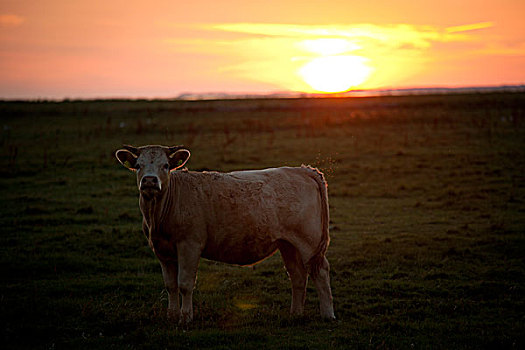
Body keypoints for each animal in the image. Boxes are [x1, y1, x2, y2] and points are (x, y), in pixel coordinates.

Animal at [116, 144, 334, 322]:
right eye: (138, 165)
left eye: (166, 165)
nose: (150, 181)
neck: (159, 215)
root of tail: (303, 170)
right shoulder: (162, 250)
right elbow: (171, 285)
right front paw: (171, 316)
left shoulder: (189, 245)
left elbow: (185, 283)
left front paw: (185, 317)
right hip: (288, 244)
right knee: (297, 275)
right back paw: (295, 314)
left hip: (309, 242)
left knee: (321, 272)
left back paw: (327, 314)